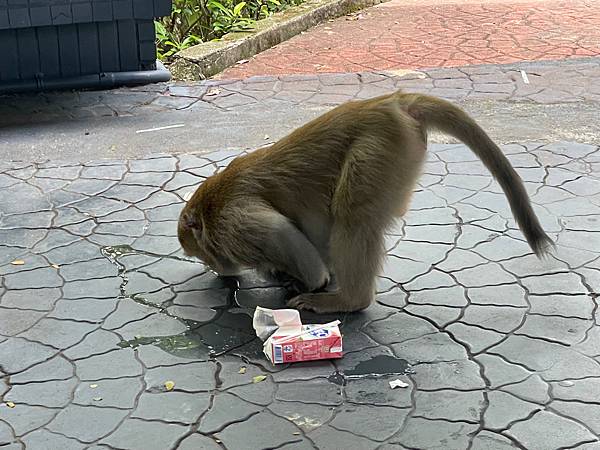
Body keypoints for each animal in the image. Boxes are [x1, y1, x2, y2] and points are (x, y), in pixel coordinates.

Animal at [177, 90, 552, 314]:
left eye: (201, 255)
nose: (217, 270)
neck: (209, 205)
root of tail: (396, 102)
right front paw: (281, 273)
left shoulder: (231, 224)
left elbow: (279, 233)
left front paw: (311, 281)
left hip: (378, 147)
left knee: (353, 216)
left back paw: (348, 300)